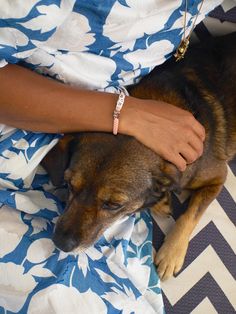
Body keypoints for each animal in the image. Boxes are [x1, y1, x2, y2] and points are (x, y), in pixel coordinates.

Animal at [42, 33, 236, 280]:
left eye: (114, 205)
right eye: (69, 185)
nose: (60, 243)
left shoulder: (217, 178)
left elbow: (190, 215)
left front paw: (171, 254)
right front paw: (160, 201)